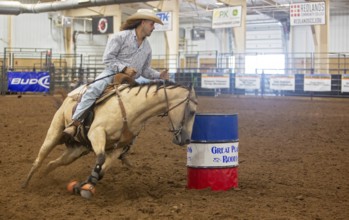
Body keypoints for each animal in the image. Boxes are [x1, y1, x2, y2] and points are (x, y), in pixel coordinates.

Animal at [22, 81, 196, 198]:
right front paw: (86, 186)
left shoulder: (118, 148)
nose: (187, 140)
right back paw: (26, 184)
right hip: (55, 133)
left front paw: (82, 185)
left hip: (76, 150)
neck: (131, 109)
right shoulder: (97, 133)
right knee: (40, 158)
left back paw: (44, 178)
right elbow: (100, 158)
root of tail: (68, 98)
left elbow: (102, 170)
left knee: (52, 163)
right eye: (192, 111)